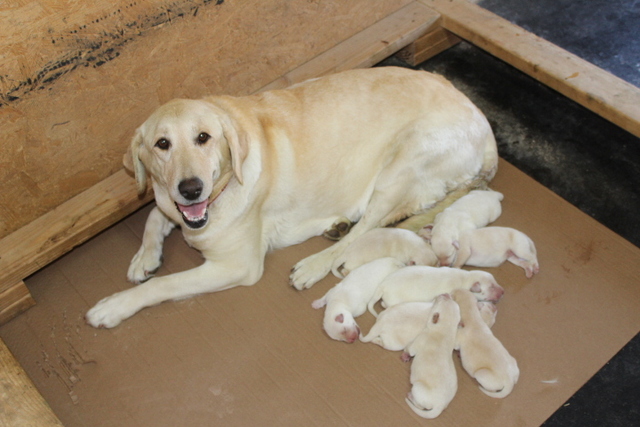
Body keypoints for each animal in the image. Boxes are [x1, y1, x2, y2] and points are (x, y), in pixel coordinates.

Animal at [362, 298, 498, 352]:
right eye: (487, 307)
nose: (495, 307)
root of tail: (381, 323)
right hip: (393, 344)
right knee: (380, 342)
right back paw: (375, 340)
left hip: (386, 313)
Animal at [368, 266, 502, 316]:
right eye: (491, 287)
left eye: (495, 282)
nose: (503, 291)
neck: (466, 279)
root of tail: (383, 285)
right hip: (393, 300)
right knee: (383, 304)